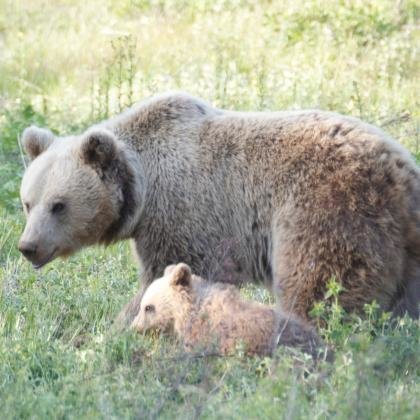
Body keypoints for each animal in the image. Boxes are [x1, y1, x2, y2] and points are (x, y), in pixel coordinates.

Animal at [18, 92, 420, 328]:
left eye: (58, 205)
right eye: (27, 203)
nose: (28, 247)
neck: (142, 188)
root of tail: (400, 172)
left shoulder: (182, 214)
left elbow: (165, 276)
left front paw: (118, 328)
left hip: (328, 209)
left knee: (319, 289)